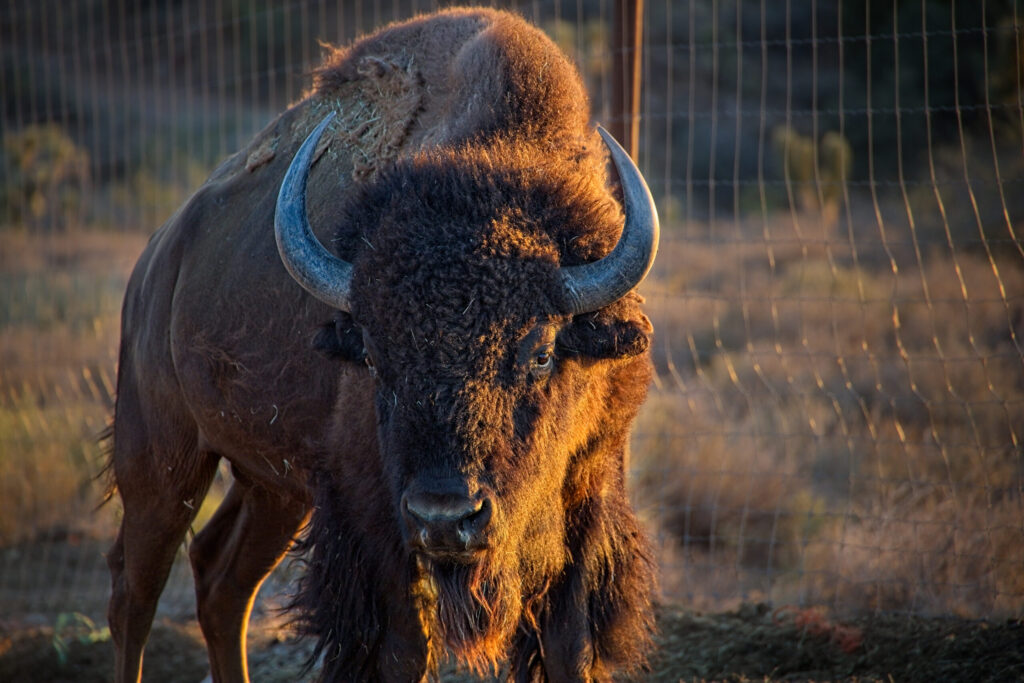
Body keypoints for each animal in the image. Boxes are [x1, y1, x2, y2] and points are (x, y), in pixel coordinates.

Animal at [106, 7, 659, 682]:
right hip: (163, 462)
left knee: (221, 581)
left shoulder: (589, 489)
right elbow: (403, 649)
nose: (446, 516)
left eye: (541, 352)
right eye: (373, 356)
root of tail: (158, 258)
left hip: (273, 489)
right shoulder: (373, 515)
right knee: (135, 591)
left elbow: (568, 645)